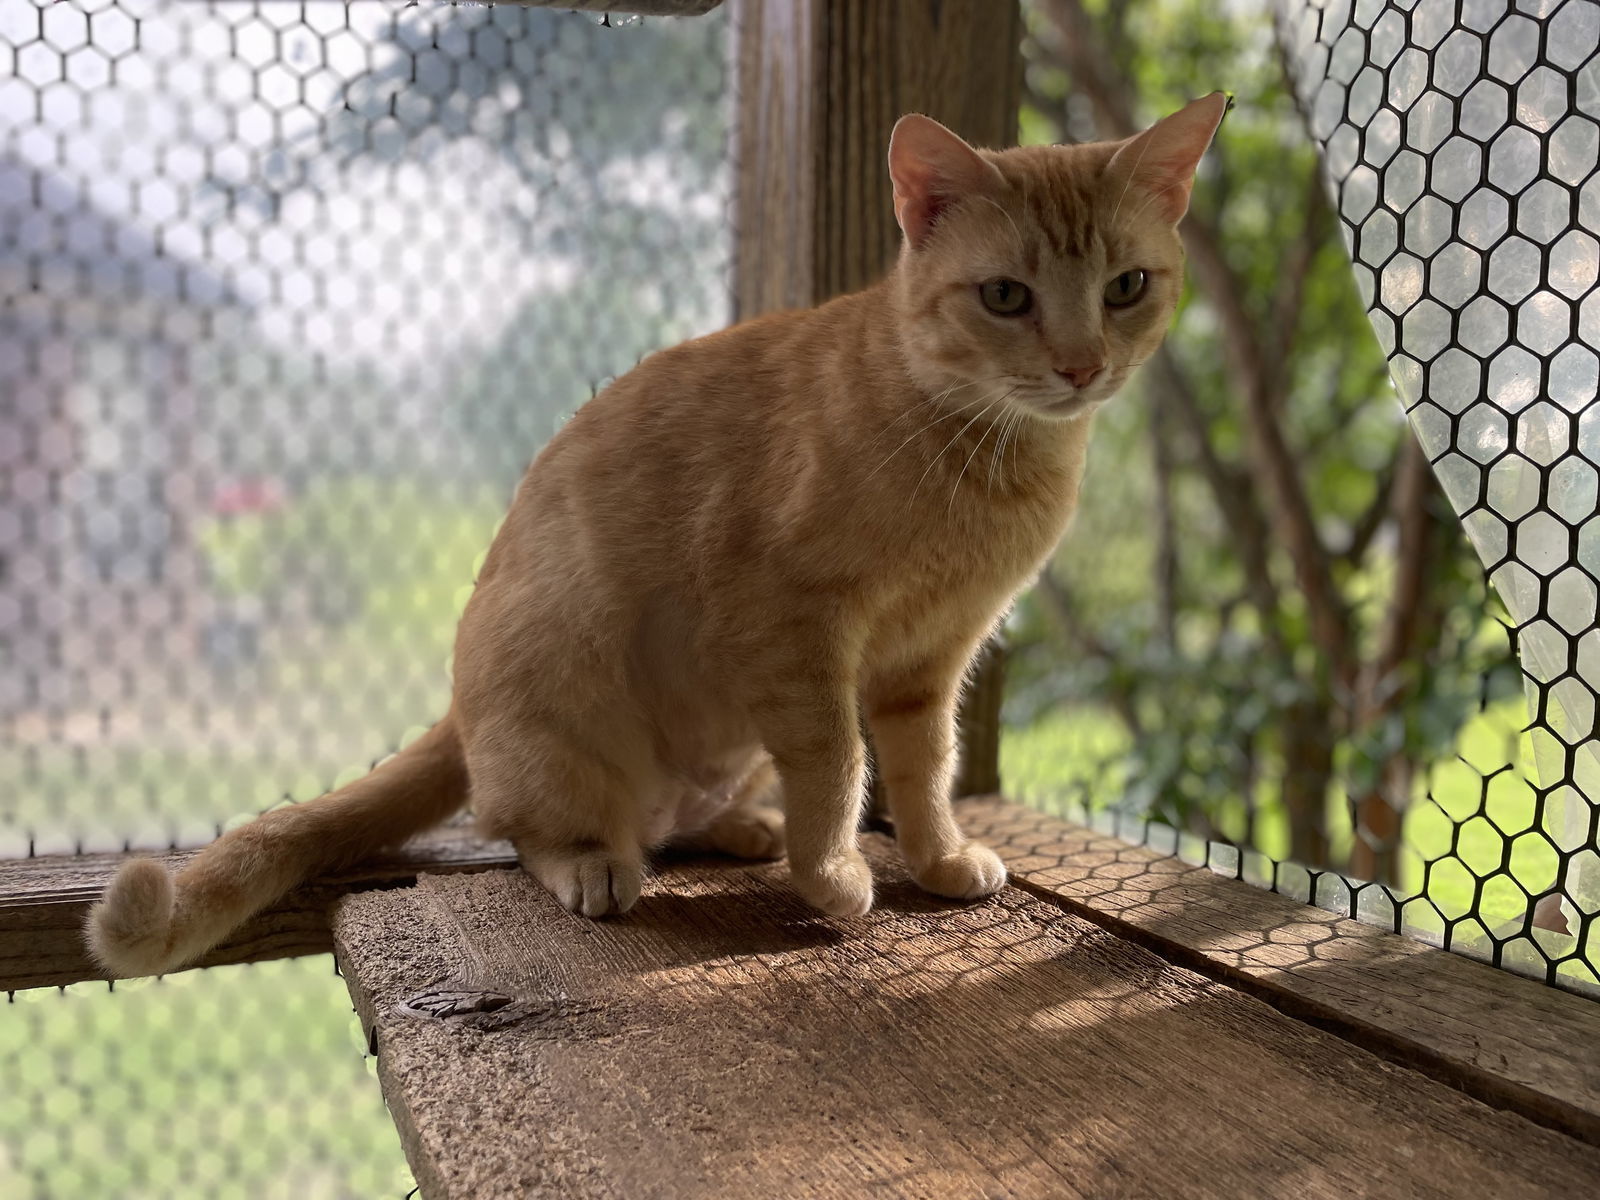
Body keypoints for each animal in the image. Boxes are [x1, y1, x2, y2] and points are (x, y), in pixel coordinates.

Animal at [84, 94, 1222, 979]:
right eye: (1005, 296)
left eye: (1125, 286)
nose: (1081, 366)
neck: (980, 450)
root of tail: (462, 707)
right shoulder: (796, 628)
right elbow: (837, 758)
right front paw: (831, 872)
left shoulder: (929, 658)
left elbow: (921, 766)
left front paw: (937, 857)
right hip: (568, 697)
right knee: (525, 829)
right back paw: (599, 862)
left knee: (675, 812)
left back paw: (739, 824)